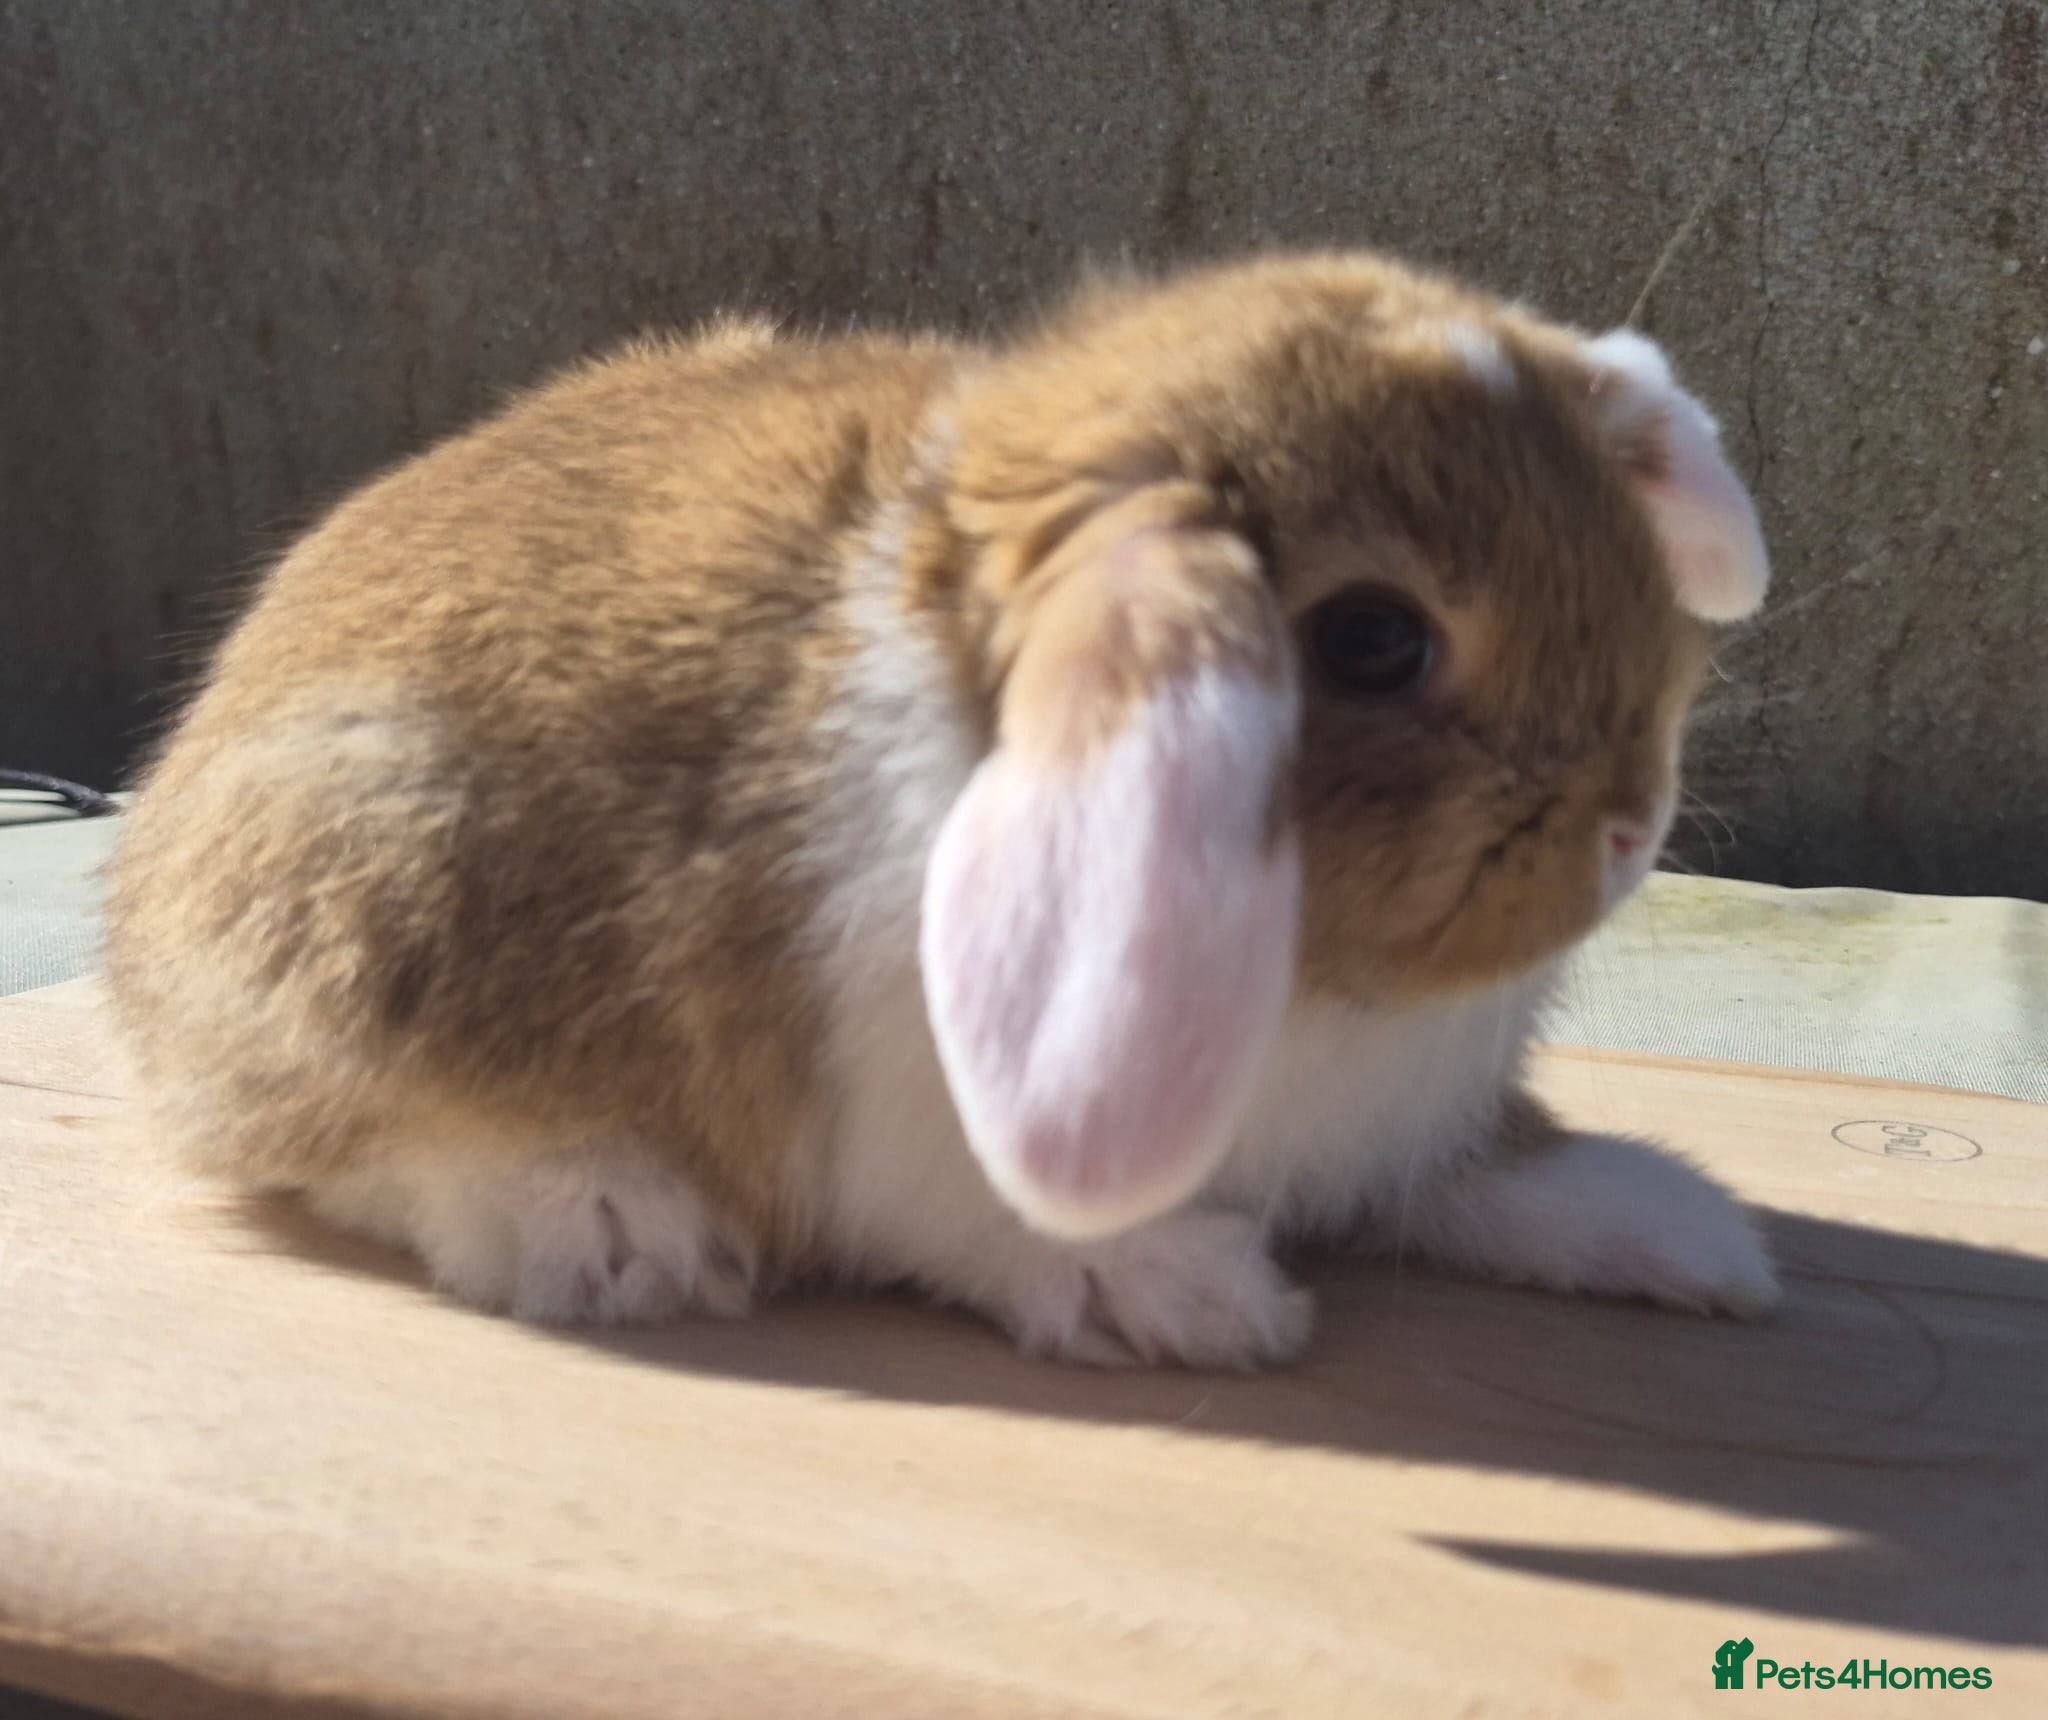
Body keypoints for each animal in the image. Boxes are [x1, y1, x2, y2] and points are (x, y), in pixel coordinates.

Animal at [104, 250, 1779, 1368]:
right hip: (360, 894)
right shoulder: (921, 1116)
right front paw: (1195, 1299)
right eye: (1375, 639)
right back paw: (617, 1231)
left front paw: (1697, 1241)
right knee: (327, 1142)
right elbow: (986, 1224)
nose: (1631, 825)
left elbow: (1492, 1171)